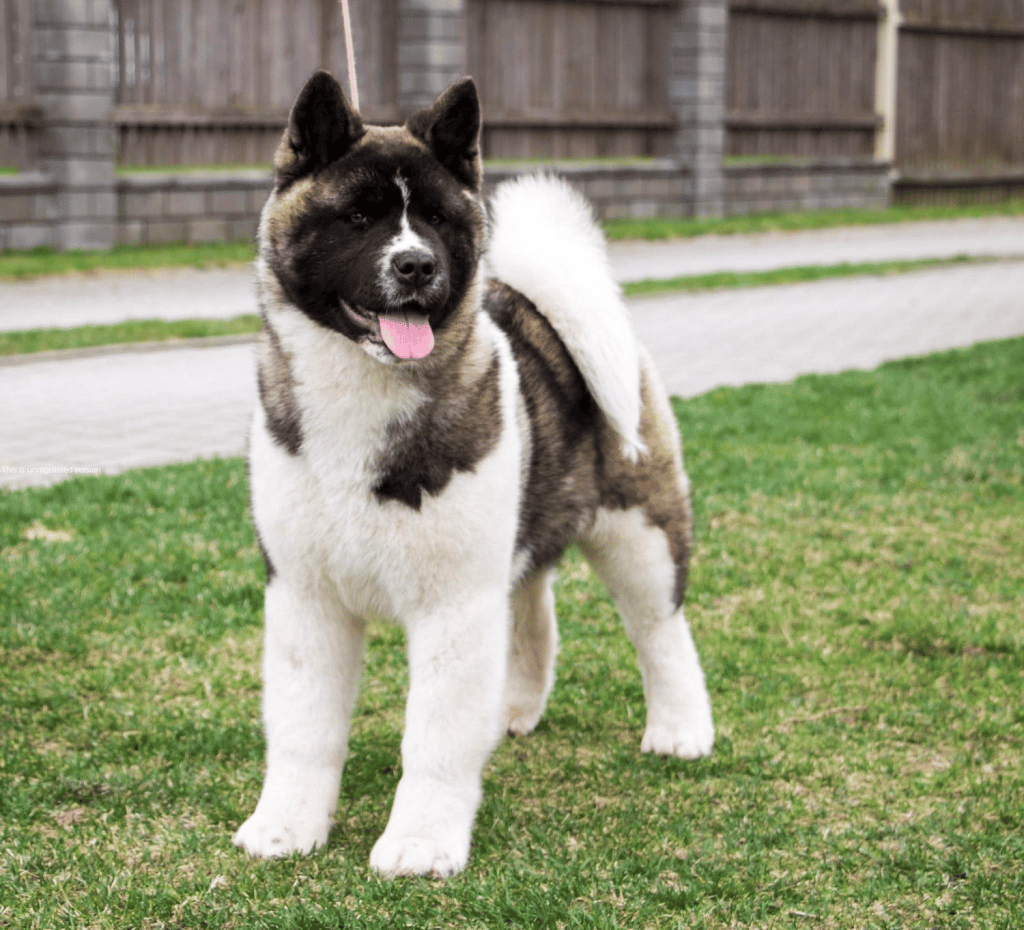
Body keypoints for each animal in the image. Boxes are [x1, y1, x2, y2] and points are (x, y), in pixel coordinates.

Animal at [233, 69, 716, 876]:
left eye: (434, 220)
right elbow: (303, 729)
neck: (361, 391)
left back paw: (681, 728)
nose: (416, 266)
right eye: (358, 217)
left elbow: (434, 738)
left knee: (660, 628)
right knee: (531, 611)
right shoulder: (307, 598)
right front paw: (286, 825)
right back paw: (512, 711)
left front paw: (421, 841)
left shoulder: (452, 604)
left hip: (639, 531)